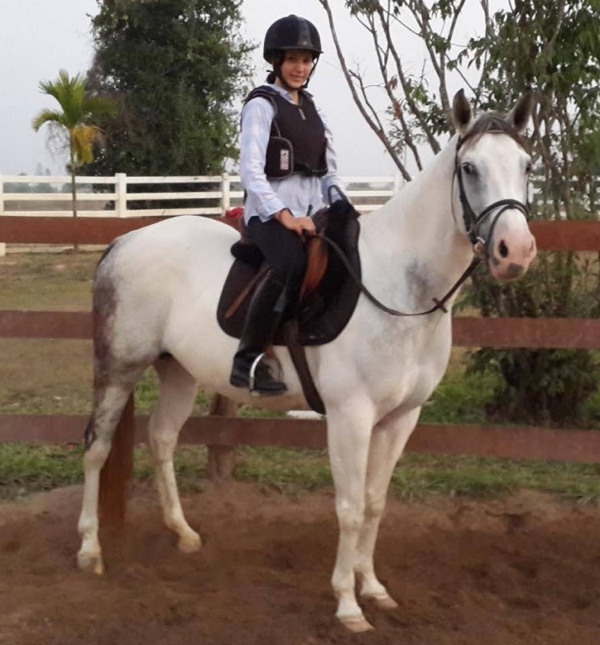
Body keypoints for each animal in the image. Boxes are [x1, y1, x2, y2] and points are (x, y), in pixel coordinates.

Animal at [76, 90, 537, 633]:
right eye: (469, 168)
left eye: (526, 165)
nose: (516, 252)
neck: (398, 286)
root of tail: (124, 242)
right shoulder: (350, 415)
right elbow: (350, 506)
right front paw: (347, 605)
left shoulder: (401, 418)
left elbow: (376, 503)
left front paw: (374, 588)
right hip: (120, 367)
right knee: (97, 447)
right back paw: (90, 550)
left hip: (178, 371)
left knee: (162, 438)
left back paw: (183, 533)